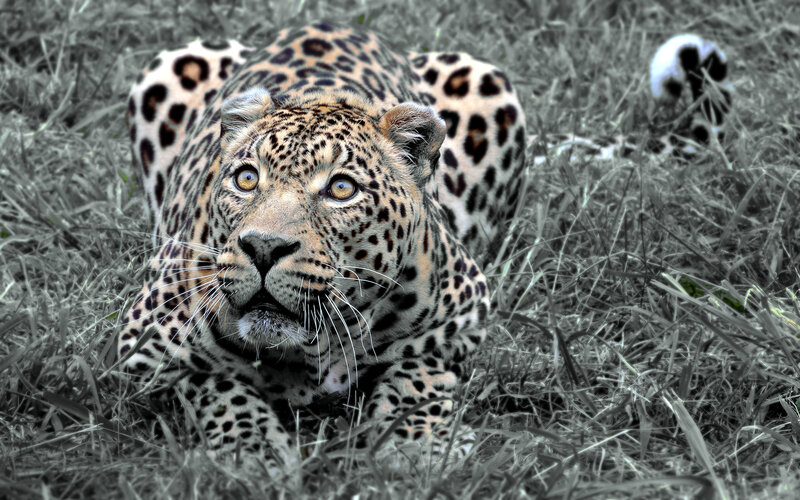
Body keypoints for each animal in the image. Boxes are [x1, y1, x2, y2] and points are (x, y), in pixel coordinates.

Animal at [118, 21, 732, 469]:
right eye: (246, 179)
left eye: (341, 189)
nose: (263, 247)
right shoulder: (143, 347)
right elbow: (218, 384)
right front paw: (253, 452)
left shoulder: (462, 316)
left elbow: (418, 372)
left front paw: (419, 448)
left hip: (487, 83)